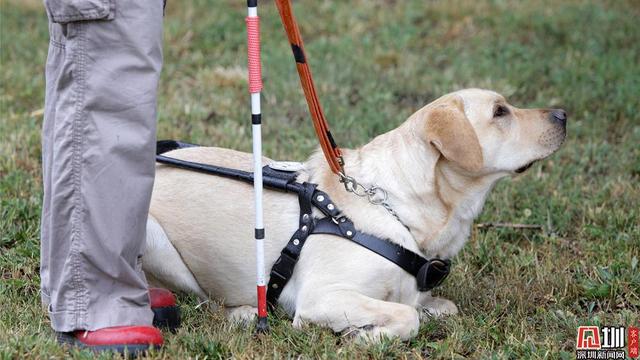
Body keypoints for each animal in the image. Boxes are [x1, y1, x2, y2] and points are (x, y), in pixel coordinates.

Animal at [144, 89, 564, 340]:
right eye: (500, 112)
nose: (563, 114)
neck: (397, 209)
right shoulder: (321, 297)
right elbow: (406, 316)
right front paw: (364, 335)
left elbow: (433, 307)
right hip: (155, 241)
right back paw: (244, 313)